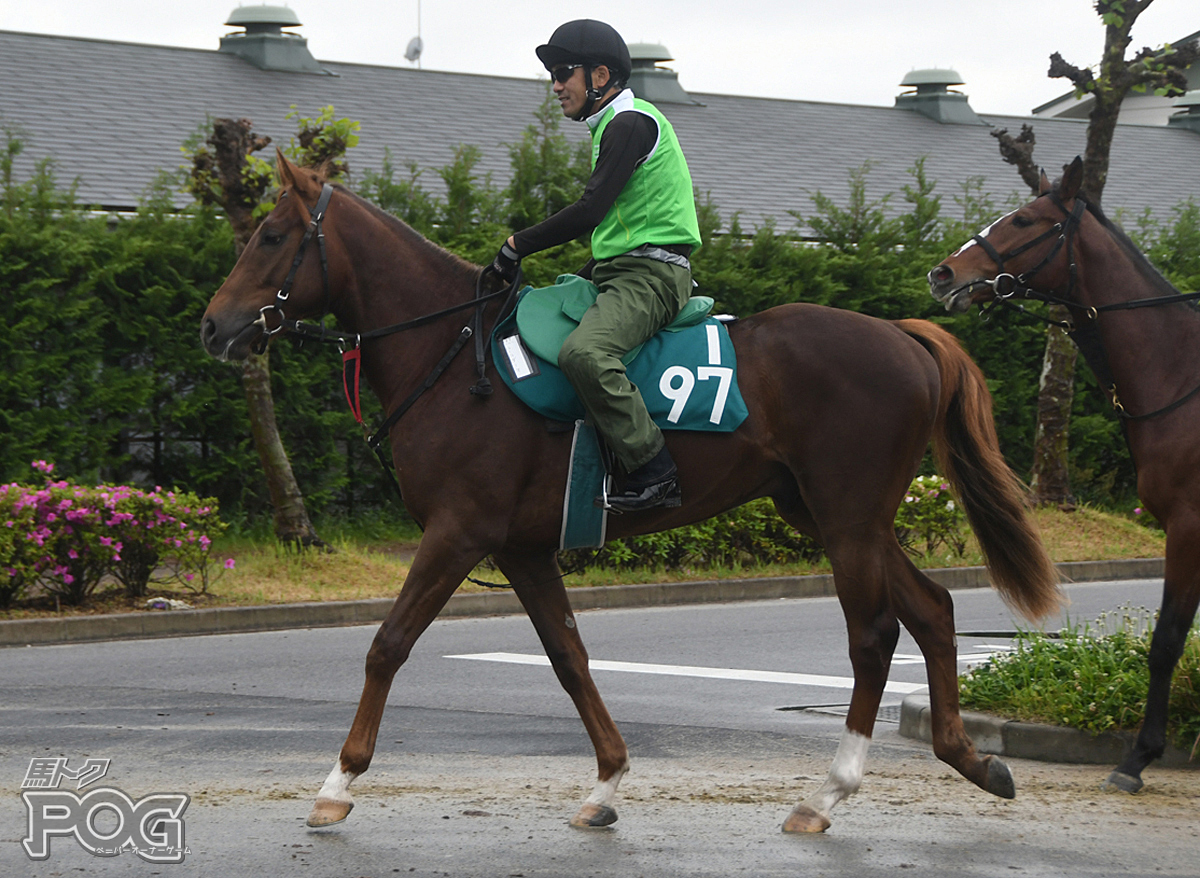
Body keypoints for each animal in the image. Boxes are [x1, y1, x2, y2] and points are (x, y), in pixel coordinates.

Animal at [204, 154, 1060, 834]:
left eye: (270, 236)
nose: (214, 327)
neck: (455, 354)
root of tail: (901, 334)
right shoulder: (521, 549)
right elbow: (568, 656)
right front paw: (607, 780)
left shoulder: (457, 532)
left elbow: (388, 644)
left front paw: (337, 782)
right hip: (833, 514)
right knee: (933, 610)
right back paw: (971, 758)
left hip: (848, 517)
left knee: (875, 636)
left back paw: (827, 794)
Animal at [931, 158, 1195, 796]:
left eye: (1026, 220)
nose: (943, 273)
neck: (1185, 379)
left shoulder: (1188, 526)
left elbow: (1167, 642)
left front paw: (1137, 758)